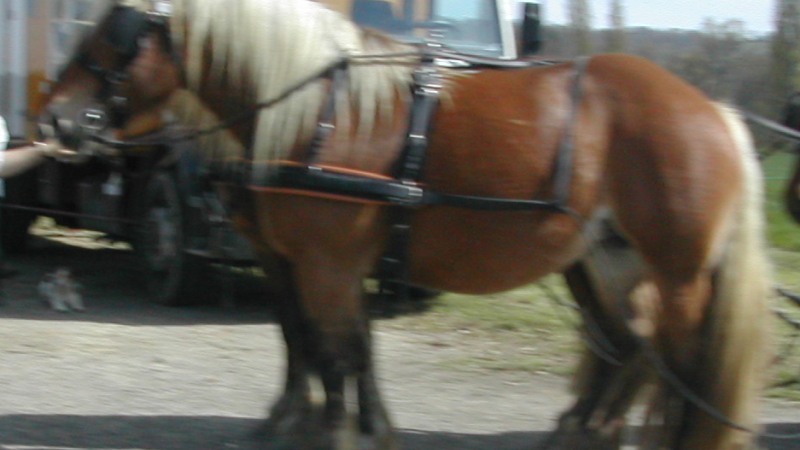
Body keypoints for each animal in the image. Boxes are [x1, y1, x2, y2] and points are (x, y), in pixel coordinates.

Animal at [41, 1, 772, 449]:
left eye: (119, 32)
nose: (57, 118)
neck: (317, 110)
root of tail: (715, 111)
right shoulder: (305, 261)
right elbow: (319, 341)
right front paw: (338, 423)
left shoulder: (327, 262)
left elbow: (335, 349)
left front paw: (335, 430)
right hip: (604, 259)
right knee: (629, 348)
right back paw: (580, 430)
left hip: (677, 276)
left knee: (677, 361)